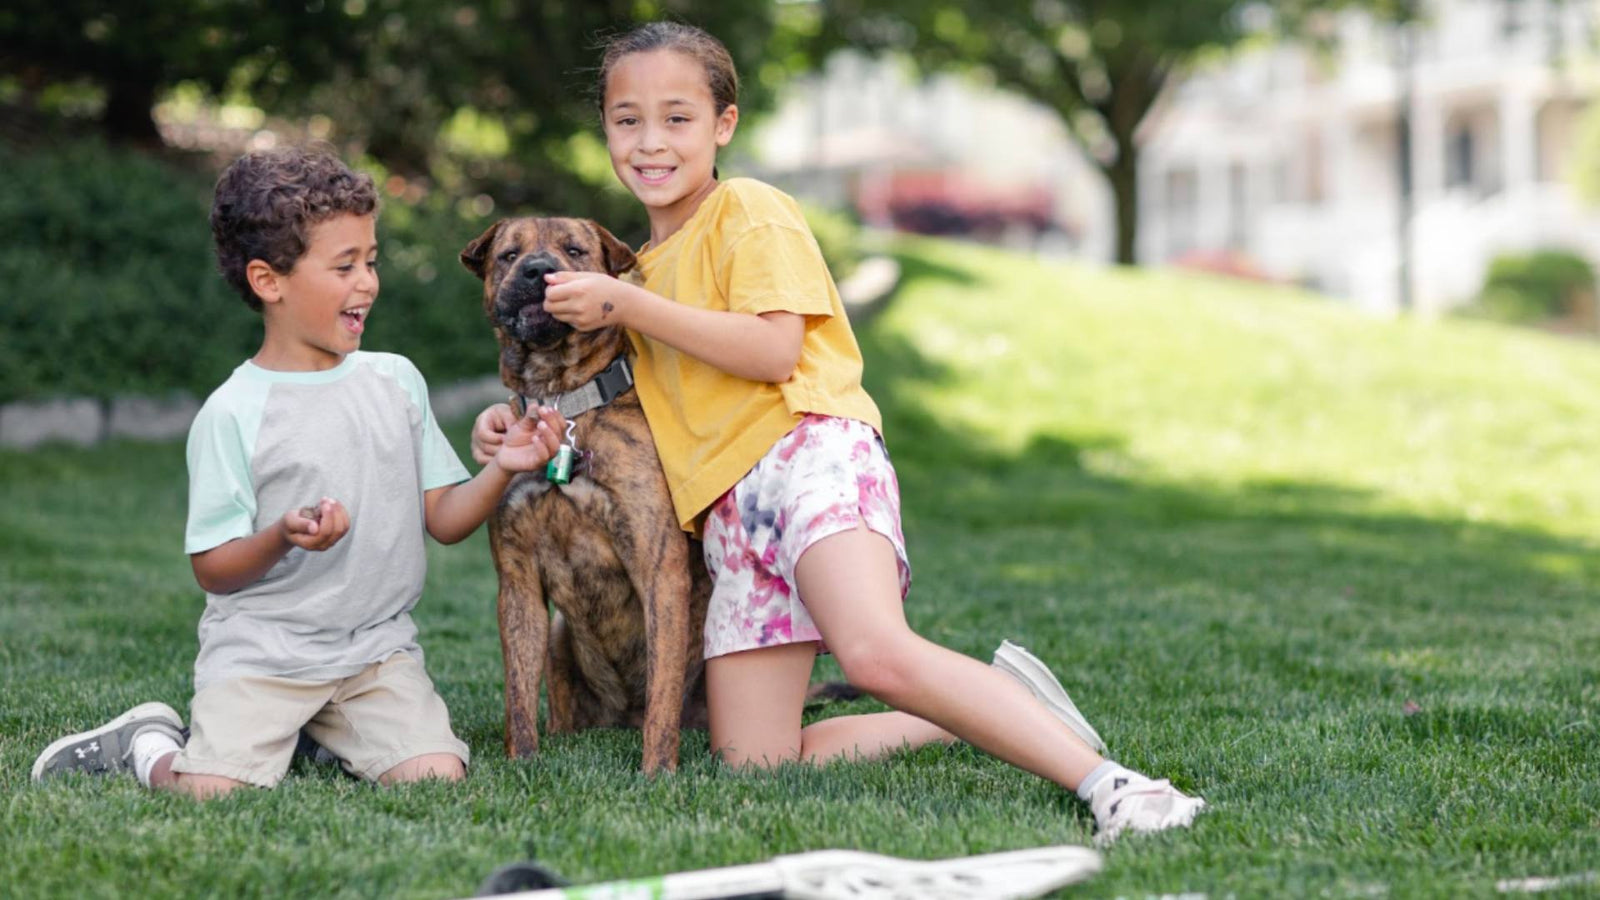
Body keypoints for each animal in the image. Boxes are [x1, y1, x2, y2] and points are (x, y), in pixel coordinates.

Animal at [464, 217, 713, 771]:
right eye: (509, 255)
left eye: (575, 251)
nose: (537, 270)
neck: (560, 400)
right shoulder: (516, 580)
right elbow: (518, 695)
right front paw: (523, 760)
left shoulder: (659, 571)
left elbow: (663, 693)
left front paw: (657, 771)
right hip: (559, 638)